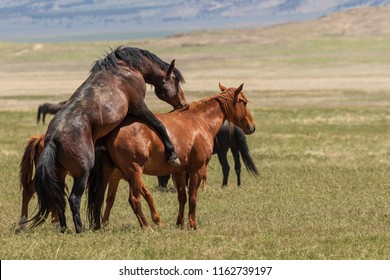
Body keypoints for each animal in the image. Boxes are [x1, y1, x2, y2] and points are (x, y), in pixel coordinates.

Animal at [30, 46, 186, 234]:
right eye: (175, 80)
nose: (183, 104)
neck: (127, 68)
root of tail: (53, 139)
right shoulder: (138, 107)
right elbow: (159, 125)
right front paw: (172, 154)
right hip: (82, 172)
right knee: (74, 198)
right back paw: (80, 229)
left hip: (60, 174)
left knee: (59, 198)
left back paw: (64, 228)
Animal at [87, 82, 254, 230]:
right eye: (244, 102)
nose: (252, 127)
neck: (200, 121)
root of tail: (112, 131)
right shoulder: (197, 169)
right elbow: (193, 197)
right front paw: (192, 224)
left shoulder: (179, 171)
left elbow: (182, 197)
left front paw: (179, 223)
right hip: (133, 172)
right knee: (134, 199)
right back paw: (147, 227)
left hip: (109, 173)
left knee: (99, 197)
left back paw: (98, 226)